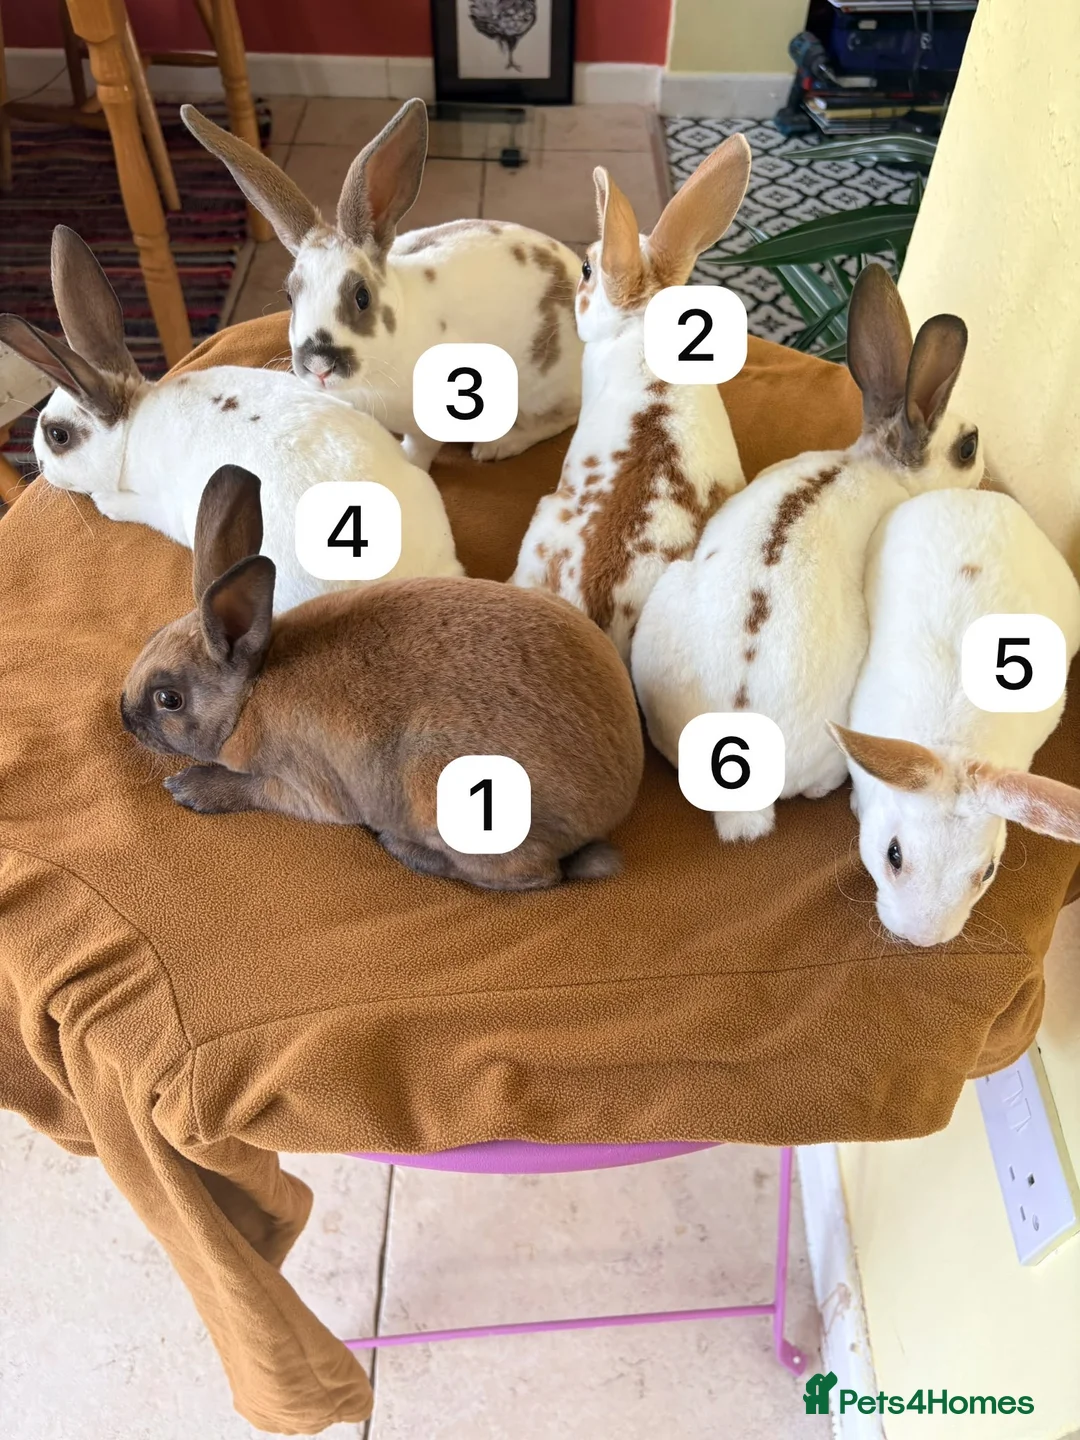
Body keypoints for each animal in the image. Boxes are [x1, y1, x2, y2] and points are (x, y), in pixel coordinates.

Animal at [119, 465, 644, 891]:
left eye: (169, 699)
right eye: (151, 637)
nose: (124, 717)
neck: (251, 694)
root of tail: (619, 795)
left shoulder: (306, 787)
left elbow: (252, 790)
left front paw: (192, 789)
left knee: (536, 875)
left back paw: (403, 848)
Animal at [182, 100, 583, 471]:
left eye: (362, 297)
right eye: (289, 296)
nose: (319, 366)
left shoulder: (429, 424)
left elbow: (420, 450)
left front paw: (407, 464)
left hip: (542, 389)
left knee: (562, 418)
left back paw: (495, 447)